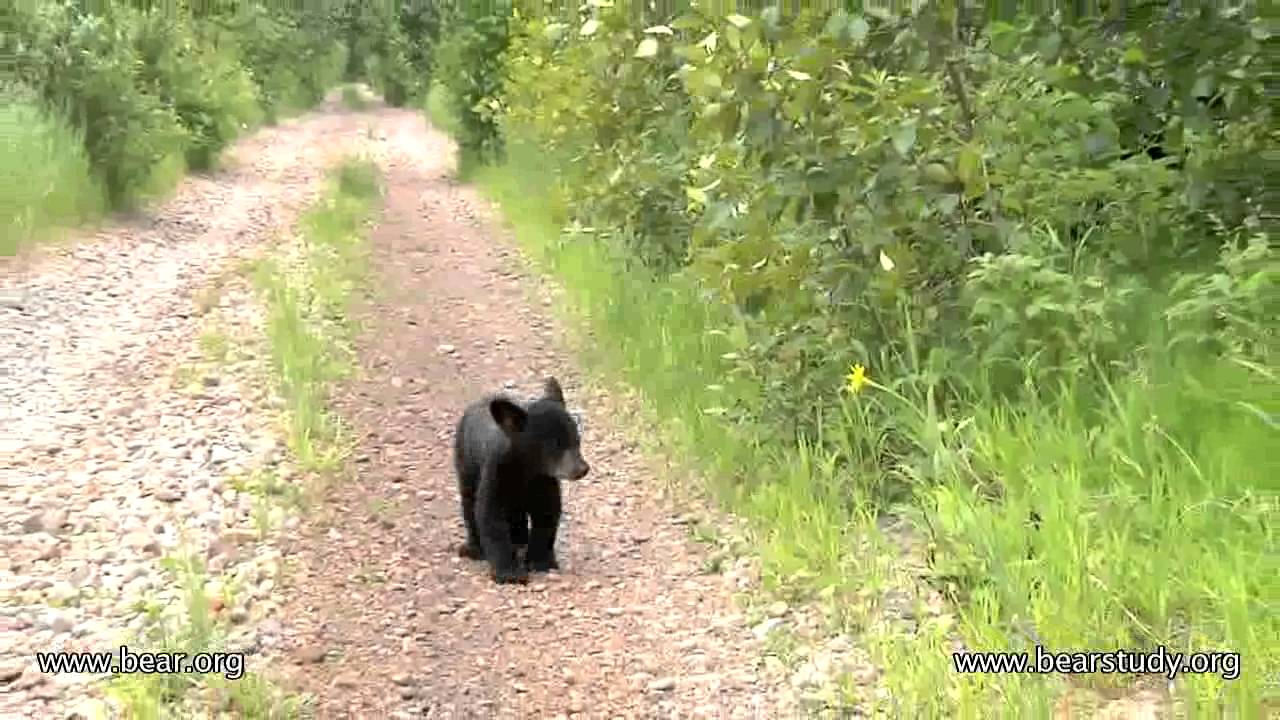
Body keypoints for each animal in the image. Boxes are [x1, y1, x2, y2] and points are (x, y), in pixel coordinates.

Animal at [452, 377, 590, 584]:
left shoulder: (545, 482)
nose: (583, 469)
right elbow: (491, 519)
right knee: (469, 504)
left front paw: (541, 562)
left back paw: (520, 539)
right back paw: (474, 549)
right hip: (467, 468)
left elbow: (546, 520)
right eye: (553, 444)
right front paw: (509, 572)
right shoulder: (496, 474)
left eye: (577, 439)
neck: (527, 470)